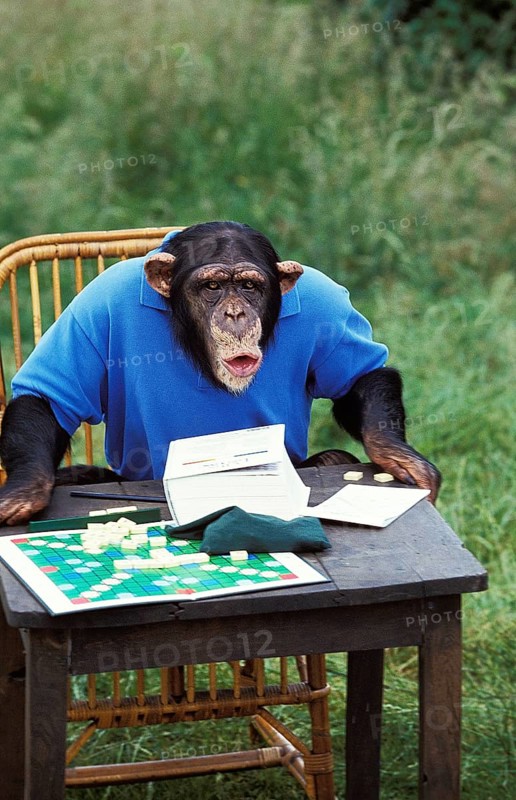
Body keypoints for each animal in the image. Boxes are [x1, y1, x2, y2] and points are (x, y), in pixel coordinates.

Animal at [0, 221, 440, 525]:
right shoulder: (92, 309)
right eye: (212, 286)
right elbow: (49, 399)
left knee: (337, 455)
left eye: (249, 286)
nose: (234, 313)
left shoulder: (328, 304)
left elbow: (359, 378)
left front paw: (396, 454)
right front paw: (24, 490)